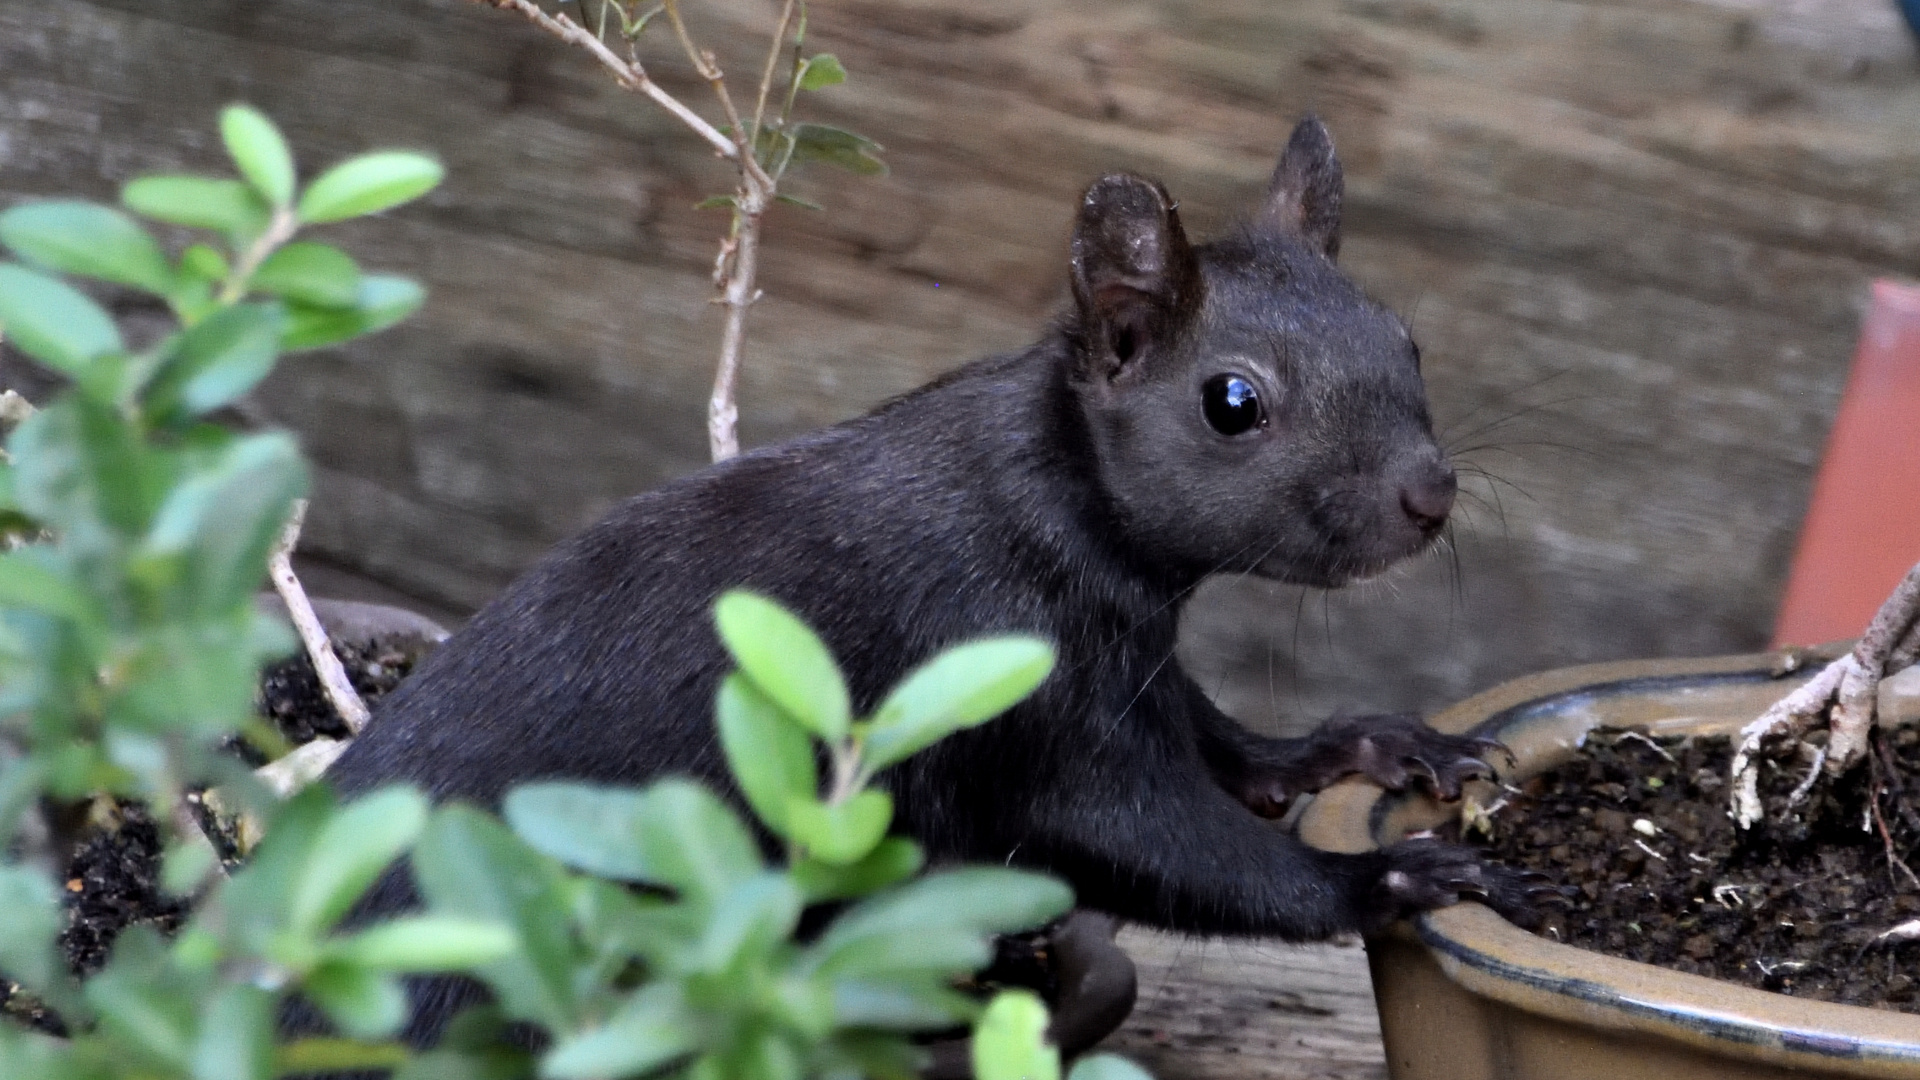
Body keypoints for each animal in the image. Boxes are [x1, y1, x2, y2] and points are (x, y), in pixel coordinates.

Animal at [326, 113, 1543, 1037]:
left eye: (1406, 339)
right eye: (1232, 402)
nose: (1431, 497)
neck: (1061, 490)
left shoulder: (1131, 667)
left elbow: (1228, 745)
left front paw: (1369, 745)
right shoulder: (1012, 687)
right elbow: (1162, 846)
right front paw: (1390, 881)